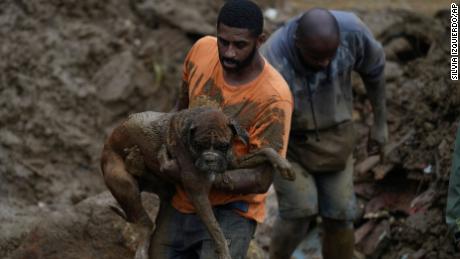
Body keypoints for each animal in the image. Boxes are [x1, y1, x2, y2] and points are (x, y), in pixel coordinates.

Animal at [100, 106, 294, 259]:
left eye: (223, 146)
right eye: (199, 145)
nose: (210, 159)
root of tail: (107, 142)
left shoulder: (234, 161)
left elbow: (266, 150)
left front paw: (285, 166)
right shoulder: (198, 191)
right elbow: (216, 229)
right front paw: (224, 252)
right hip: (124, 185)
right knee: (145, 223)